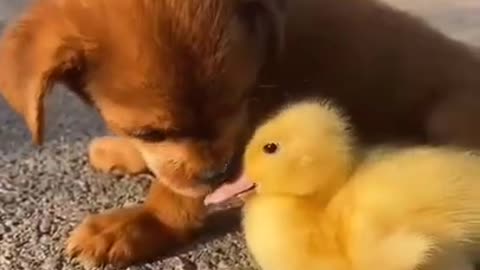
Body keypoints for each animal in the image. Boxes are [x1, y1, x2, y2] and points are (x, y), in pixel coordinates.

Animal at [0, 0, 480, 266]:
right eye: (151, 133)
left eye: (237, 101)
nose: (219, 175)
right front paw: (121, 153)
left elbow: (178, 193)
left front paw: (142, 224)